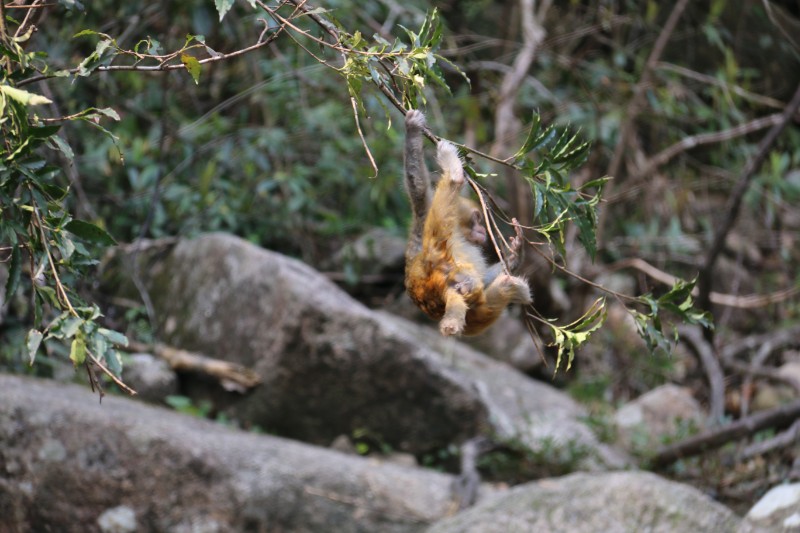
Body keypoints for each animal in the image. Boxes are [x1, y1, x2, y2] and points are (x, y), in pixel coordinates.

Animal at [400, 109, 532, 334]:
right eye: (477, 219)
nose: (482, 230)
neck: (459, 232)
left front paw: (514, 256)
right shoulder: (425, 217)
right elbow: (418, 189)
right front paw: (412, 130)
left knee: (493, 288)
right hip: (438, 258)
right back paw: (455, 175)